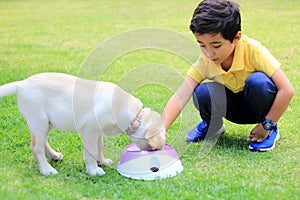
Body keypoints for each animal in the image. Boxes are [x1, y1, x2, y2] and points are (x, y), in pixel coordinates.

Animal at [0, 72, 165, 176]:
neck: (135, 116)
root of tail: (21, 83)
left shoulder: (98, 133)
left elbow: (99, 148)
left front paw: (102, 161)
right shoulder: (89, 132)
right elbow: (91, 152)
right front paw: (94, 170)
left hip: (46, 122)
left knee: (42, 142)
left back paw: (54, 156)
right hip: (38, 120)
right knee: (36, 147)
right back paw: (46, 170)